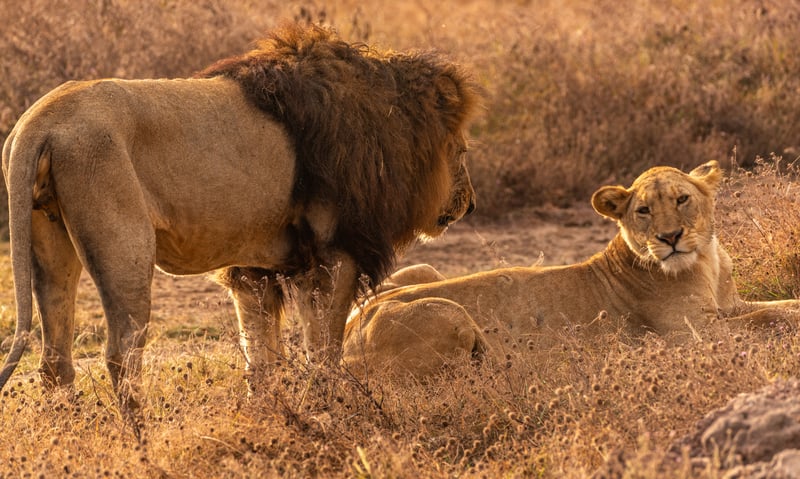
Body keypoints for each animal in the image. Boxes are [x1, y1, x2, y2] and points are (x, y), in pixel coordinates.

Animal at [0, 23, 481, 414]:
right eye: (461, 150)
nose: (471, 204)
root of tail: (40, 122)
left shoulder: (257, 268)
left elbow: (262, 355)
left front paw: (269, 410)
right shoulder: (335, 253)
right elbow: (324, 351)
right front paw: (332, 408)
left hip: (50, 245)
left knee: (54, 359)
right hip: (125, 249)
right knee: (120, 355)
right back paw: (143, 440)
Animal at [343, 161, 800, 377]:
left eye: (682, 198)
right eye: (644, 210)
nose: (670, 237)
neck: (706, 260)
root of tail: (346, 333)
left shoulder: (730, 306)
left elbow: (777, 305)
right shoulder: (692, 334)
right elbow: (767, 319)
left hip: (422, 268)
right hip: (448, 311)